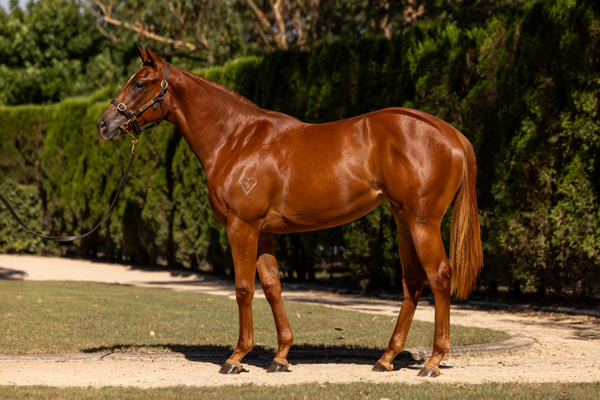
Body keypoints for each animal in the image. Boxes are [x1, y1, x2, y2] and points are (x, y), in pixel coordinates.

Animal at [97, 47, 482, 378]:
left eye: (140, 83)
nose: (104, 124)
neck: (237, 139)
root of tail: (449, 132)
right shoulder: (264, 231)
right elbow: (272, 287)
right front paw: (281, 356)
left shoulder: (242, 227)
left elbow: (243, 288)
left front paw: (237, 357)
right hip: (404, 222)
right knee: (413, 282)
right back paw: (386, 358)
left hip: (423, 223)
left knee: (439, 277)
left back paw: (432, 361)